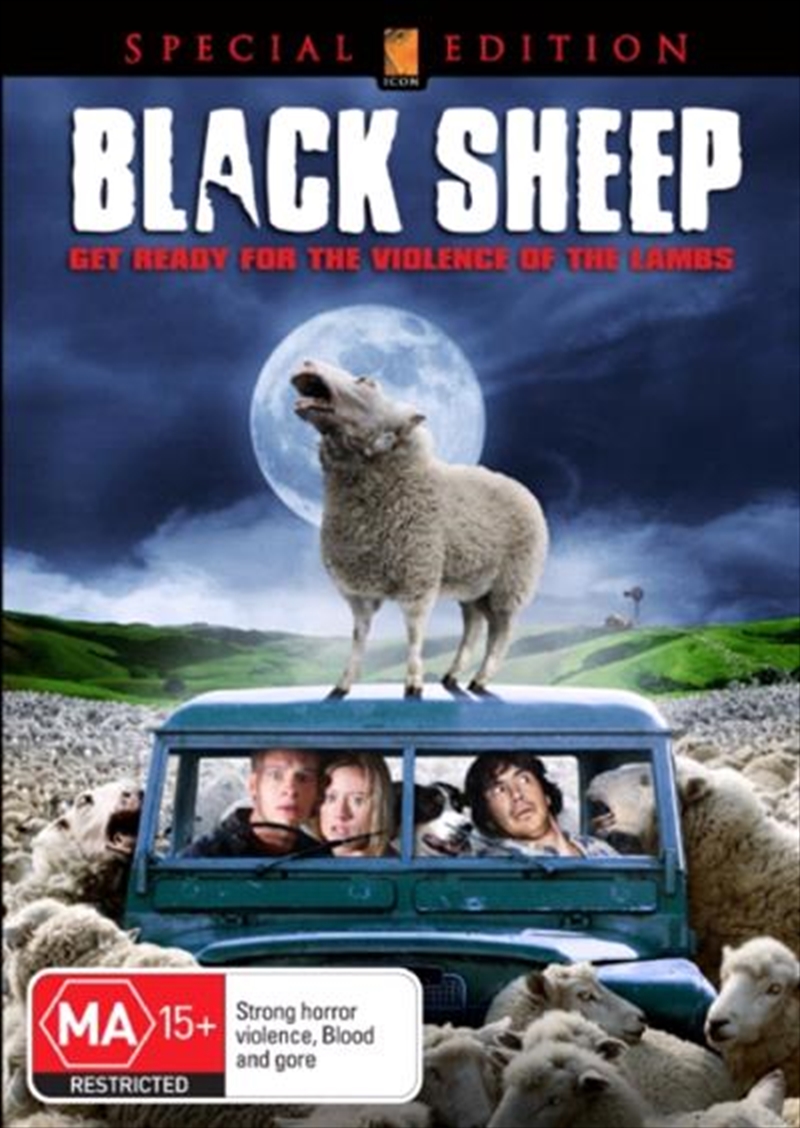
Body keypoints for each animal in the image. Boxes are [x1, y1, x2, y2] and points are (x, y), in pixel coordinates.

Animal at [292, 359, 548, 696]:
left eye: (367, 382)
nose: (306, 361)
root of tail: (521, 488)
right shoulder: (358, 593)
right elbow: (359, 637)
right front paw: (342, 685)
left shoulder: (418, 576)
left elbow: (414, 634)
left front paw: (413, 683)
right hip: (473, 583)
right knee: (475, 625)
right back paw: (453, 676)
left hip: (511, 582)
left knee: (502, 630)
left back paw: (481, 679)